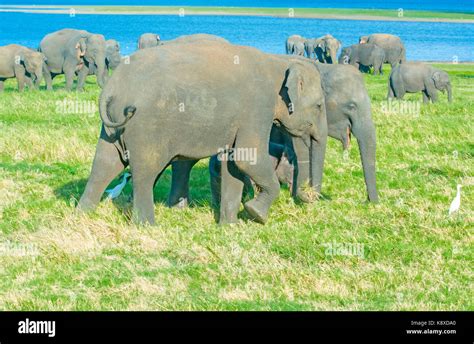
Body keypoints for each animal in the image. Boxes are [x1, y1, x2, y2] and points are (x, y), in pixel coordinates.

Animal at [78, 38, 330, 226]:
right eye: (319, 106)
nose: (310, 199)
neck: (278, 62)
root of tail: (112, 87)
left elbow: (233, 164)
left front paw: (230, 227)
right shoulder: (256, 109)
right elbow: (248, 159)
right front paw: (256, 214)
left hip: (112, 127)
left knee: (105, 164)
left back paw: (83, 214)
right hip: (145, 126)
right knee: (145, 171)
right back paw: (147, 225)